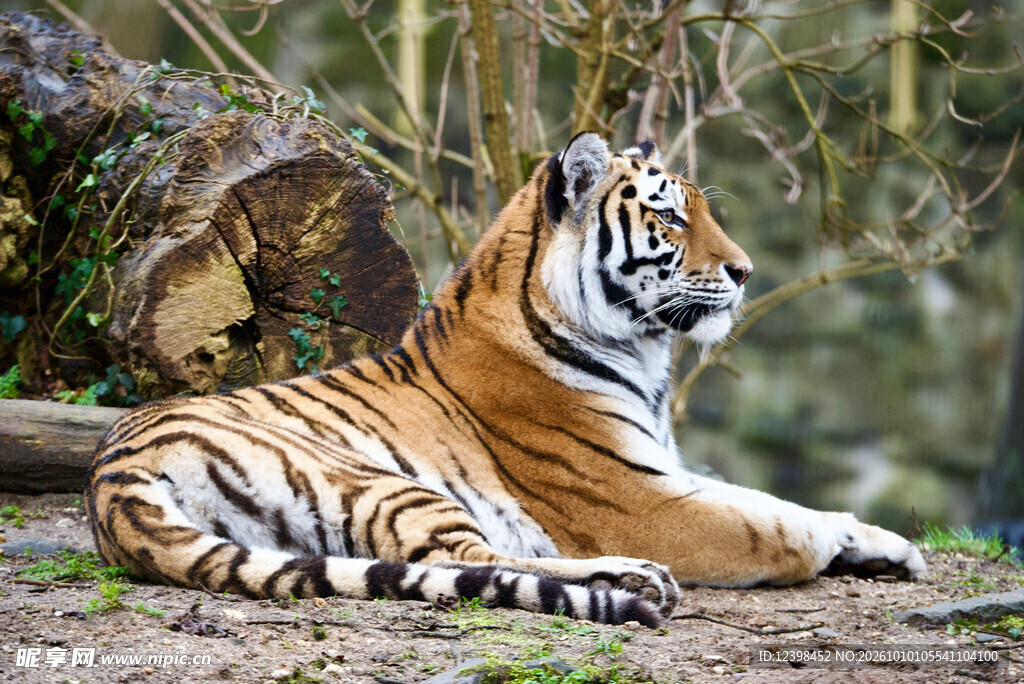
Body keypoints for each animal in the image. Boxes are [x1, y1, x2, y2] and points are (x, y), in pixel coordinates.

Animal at [86, 133, 925, 628]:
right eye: (670, 219)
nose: (746, 272)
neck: (639, 351)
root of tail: (110, 480)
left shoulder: (664, 468)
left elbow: (772, 499)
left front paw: (887, 546)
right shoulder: (635, 495)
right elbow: (765, 521)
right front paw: (830, 544)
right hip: (381, 480)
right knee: (464, 561)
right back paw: (635, 579)